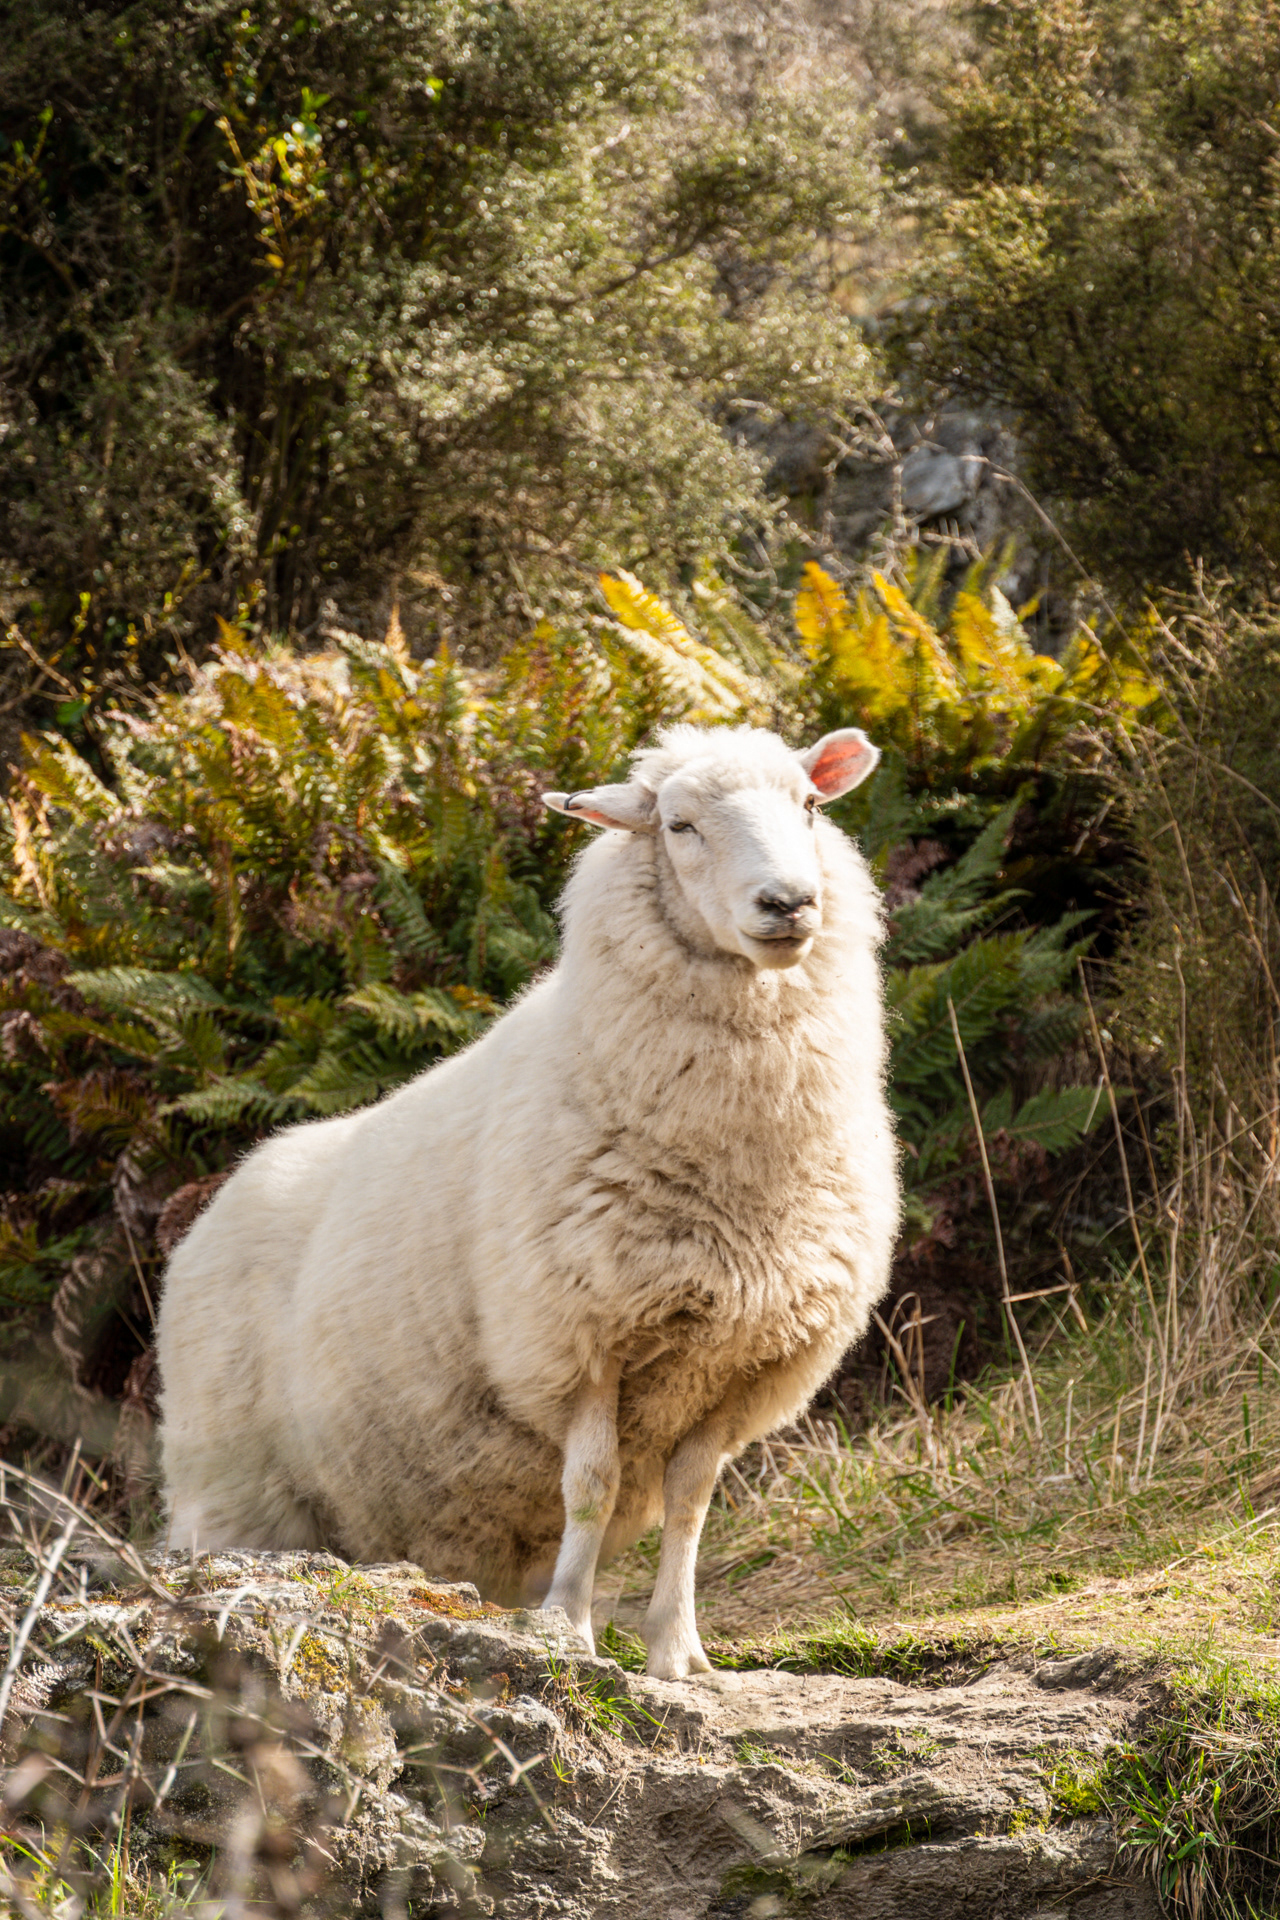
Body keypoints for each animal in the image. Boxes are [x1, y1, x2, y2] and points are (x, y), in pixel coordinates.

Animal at [156, 722, 900, 1679]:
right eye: (679, 824)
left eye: (809, 806)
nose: (790, 904)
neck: (740, 1171)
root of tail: (218, 1202)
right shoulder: (573, 1335)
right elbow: (591, 1485)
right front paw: (568, 1632)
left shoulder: (740, 1362)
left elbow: (690, 1501)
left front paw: (679, 1653)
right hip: (230, 1484)